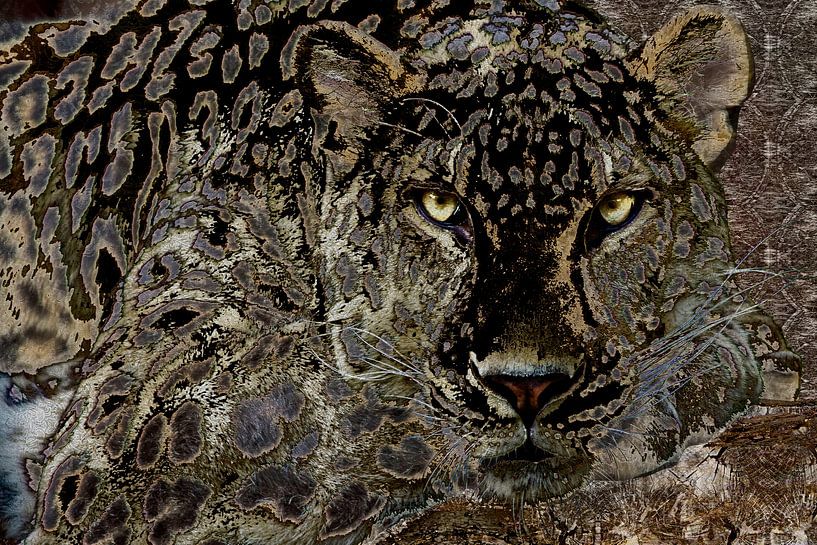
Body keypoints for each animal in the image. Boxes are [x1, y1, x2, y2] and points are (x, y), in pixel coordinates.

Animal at [0, 0, 801, 543]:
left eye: (615, 208)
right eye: (440, 205)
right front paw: (713, 358)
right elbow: (385, 401)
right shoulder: (147, 416)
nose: (528, 385)